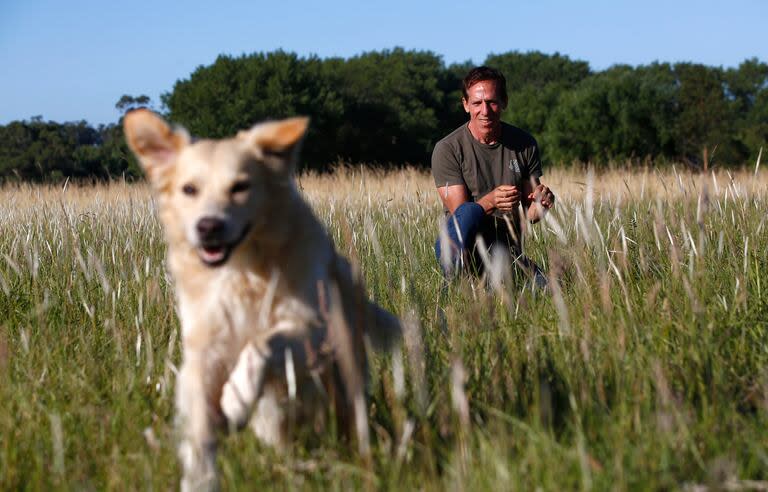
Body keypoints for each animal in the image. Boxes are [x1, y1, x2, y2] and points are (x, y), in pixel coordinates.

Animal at [124, 109, 402, 490]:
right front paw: (200, 475)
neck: (241, 270)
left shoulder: (312, 329)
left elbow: (262, 344)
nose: (208, 227)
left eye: (240, 187)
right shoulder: (204, 348)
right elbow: (200, 425)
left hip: (343, 375)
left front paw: (236, 398)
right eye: (189, 189)